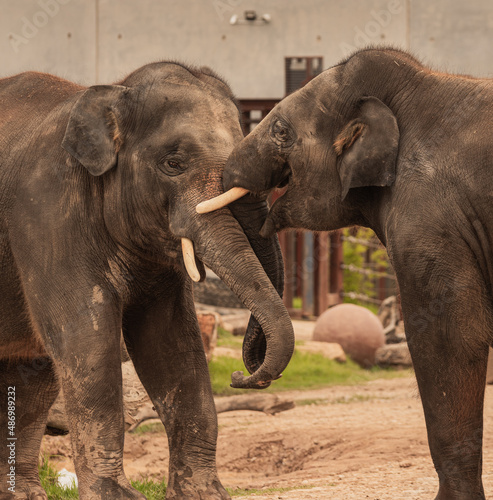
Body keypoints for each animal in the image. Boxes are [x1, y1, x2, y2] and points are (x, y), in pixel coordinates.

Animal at [0, 62, 292, 500]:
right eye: (173, 164)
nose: (240, 375)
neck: (111, 93)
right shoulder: (45, 215)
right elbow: (87, 340)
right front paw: (116, 496)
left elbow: (171, 342)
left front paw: (204, 494)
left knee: (32, 374)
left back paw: (23, 496)